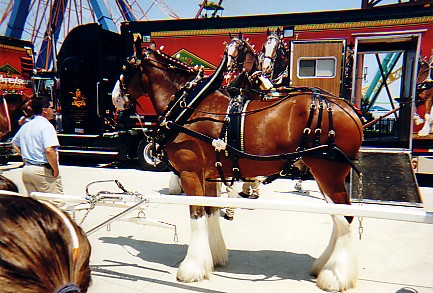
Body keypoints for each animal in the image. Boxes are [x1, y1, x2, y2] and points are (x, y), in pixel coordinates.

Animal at [113, 42, 362, 290]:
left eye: (126, 66)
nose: (114, 97)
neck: (190, 105)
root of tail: (350, 110)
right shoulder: (209, 175)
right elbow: (211, 213)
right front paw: (214, 258)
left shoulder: (190, 173)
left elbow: (197, 217)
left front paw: (192, 268)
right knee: (337, 217)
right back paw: (323, 266)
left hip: (328, 174)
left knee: (346, 217)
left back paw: (335, 276)